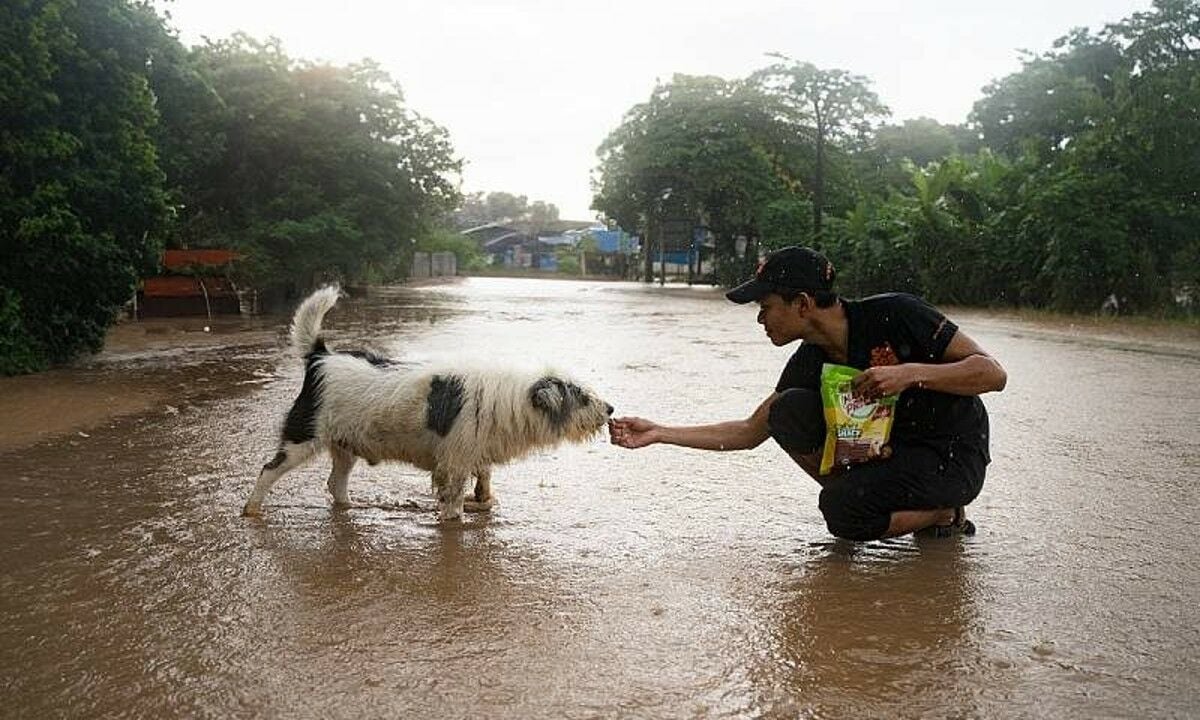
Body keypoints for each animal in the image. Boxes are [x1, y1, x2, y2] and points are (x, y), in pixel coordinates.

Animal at [244, 284, 619, 520]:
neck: (514, 401)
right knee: (268, 470)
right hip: (302, 437)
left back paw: (349, 508)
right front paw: (455, 520)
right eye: (582, 396)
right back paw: (251, 509)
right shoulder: (453, 463)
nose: (611, 409)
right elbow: (452, 501)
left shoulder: (475, 452)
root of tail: (321, 357)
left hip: (344, 446)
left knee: (335, 484)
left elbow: (484, 478)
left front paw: (484, 500)